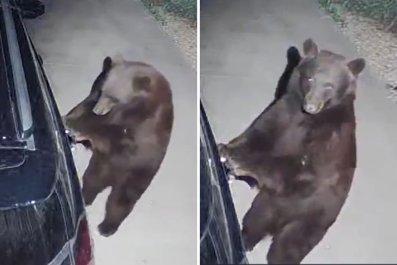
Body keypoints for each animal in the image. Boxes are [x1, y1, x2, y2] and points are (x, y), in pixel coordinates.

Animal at [63, 55, 172, 235]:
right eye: (103, 92)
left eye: (114, 97)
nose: (98, 110)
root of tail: (112, 179)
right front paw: (72, 121)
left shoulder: (144, 133)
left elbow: (114, 138)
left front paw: (78, 127)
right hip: (100, 165)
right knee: (91, 180)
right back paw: (86, 198)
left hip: (135, 175)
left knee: (120, 200)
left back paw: (107, 226)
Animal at [218, 38, 364, 262]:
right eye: (310, 78)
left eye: (329, 85)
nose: (311, 105)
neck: (310, 119)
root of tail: (282, 219)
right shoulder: (284, 111)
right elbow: (260, 134)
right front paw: (227, 148)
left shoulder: (330, 140)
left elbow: (304, 168)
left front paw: (241, 162)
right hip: (267, 203)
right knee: (255, 221)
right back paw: (246, 240)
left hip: (312, 218)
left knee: (288, 246)